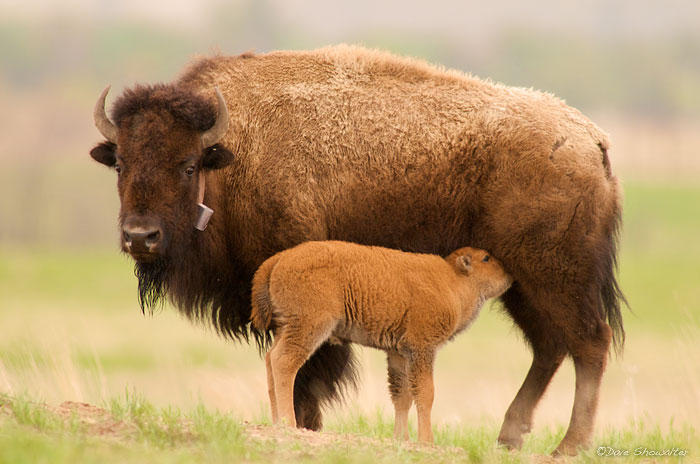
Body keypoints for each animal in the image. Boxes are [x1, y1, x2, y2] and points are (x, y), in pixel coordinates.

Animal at [249, 239, 512, 442]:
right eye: (486, 258)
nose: (509, 275)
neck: (452, 281)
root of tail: (281, 258)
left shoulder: (399, 354)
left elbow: (402, 396)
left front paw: (401, 438)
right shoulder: (422, 349)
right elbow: (425, 394)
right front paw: (426, 440)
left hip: (286, 328)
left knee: (270, 359)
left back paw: (276, 421)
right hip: (309, 328)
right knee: (284, 363)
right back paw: (288, 423)